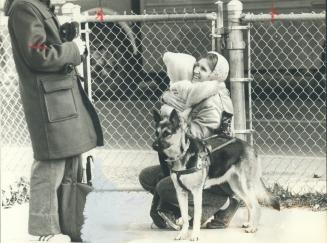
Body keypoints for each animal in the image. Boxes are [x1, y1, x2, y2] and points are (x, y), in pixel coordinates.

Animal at [152, 110, 280, 241]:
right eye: (156, 133)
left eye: (167, 133)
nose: (154, 145)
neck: (183, 154)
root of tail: (249, 146)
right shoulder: (181, 193)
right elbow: (184, 216)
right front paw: (182, 234)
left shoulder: (196, 193)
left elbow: (197, 216)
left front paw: (195, 235)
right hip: (237, 186)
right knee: (249, 204)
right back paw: (249, 223)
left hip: (245, 185)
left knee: (256, 205)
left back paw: (253, 227)